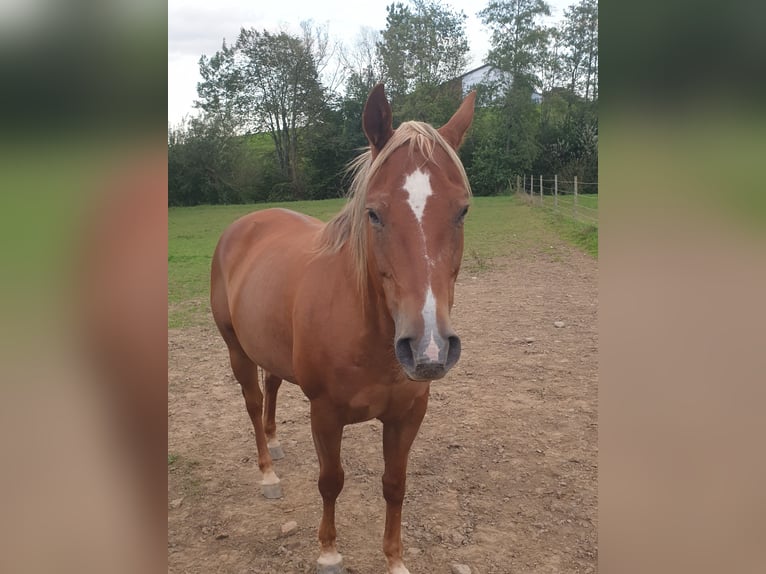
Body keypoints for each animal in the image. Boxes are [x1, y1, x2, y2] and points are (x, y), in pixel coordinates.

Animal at [210, 85, 474, 574]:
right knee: (253, 403)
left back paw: (275, 444)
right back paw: (268, 472)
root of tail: (246, 223)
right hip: (236, 349)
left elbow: (395, 483)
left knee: (271, 386)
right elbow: (331, 480)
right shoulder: (326, 413)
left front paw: (394, 560)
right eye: (374, 214)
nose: (428, 348)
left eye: (462, 211)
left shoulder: (408, 414)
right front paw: (329, 552)